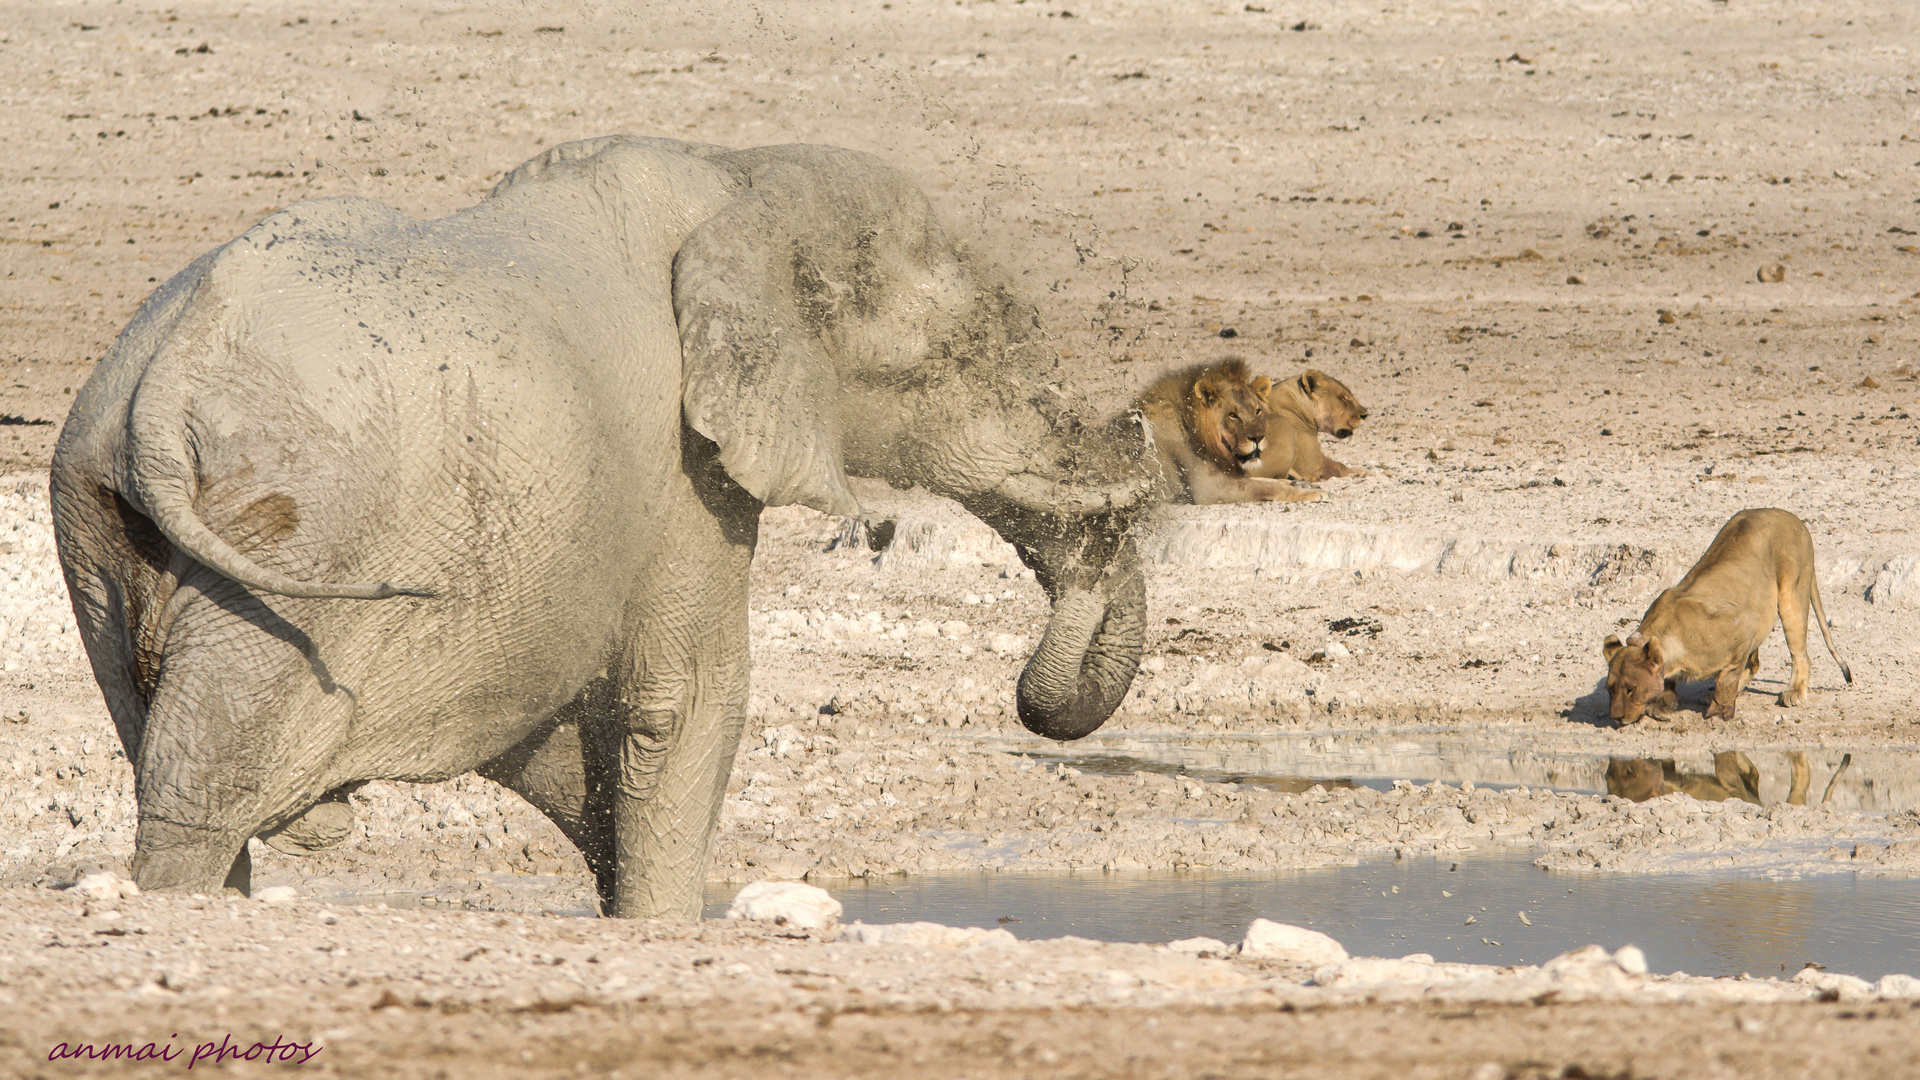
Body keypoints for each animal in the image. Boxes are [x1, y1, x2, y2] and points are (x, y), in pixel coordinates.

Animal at [48, 132, 1152, 907]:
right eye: (974, 358)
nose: (1032, 703)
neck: (739, 179)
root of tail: (167, 374)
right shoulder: (686, 475)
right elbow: (687, 705)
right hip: (298, 540)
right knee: (202, 791)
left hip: (102, 535)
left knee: (163, 757)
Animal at [1128, 357, 1328, 499]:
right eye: (1233, 415)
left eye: (1257, 411)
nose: (1258, 438)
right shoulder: (1208, 489)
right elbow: (1264, 487)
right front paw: (1309, 492)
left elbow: (1259, 479)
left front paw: (1299, 484)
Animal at [1605, 507, 1858, 722]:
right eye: (1610, 689)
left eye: (1631, 689)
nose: (1615, 717)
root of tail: (1794, 518)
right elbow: (1671, 682)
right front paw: (1662, 706)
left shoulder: (1746, 623)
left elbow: (1728, 676)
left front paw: (1719, 711)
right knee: (1755, 663)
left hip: (1792, 593)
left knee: (1800, 655)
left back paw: (1793, 692)